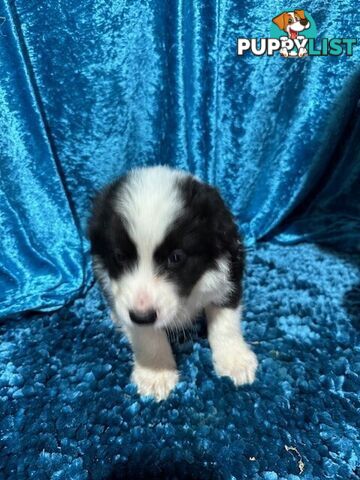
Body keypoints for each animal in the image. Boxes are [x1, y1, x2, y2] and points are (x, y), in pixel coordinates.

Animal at [88, 167, 258, 400]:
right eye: (119, 256)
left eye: (176, 257)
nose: (142, 316)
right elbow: (146, 333)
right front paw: (155, 373)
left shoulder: (229, 271)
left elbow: (226, 320)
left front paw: (234, 360)